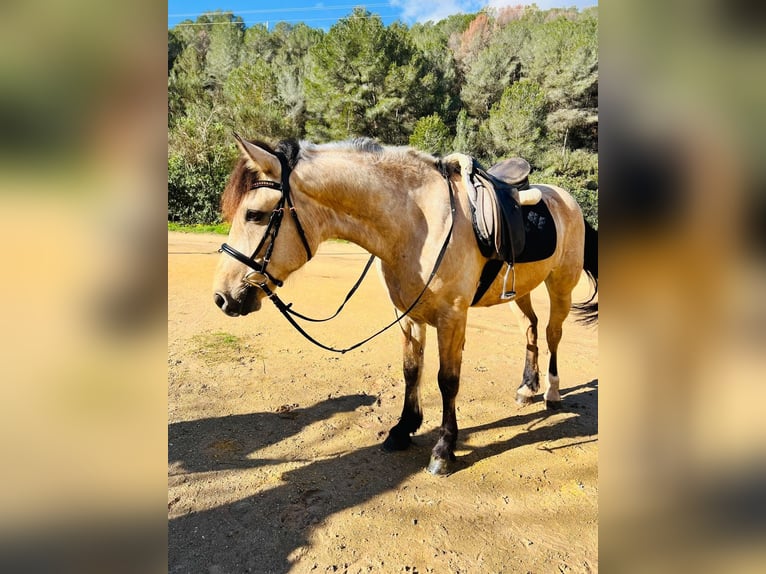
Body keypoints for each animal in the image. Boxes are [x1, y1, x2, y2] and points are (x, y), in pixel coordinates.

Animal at [212, 135, 598, 475]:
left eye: (254, 214)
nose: (222, 296)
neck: (419, 226)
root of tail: (565, 198)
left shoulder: (452, 317)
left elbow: (447, 381)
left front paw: (443, 449)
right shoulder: (408, 316)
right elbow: (411, 370)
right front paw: (403, 428)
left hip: (561, 286)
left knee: (552, 334)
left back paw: (551, 392)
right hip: (519, 292)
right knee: (531, 329)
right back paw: (527, 388)